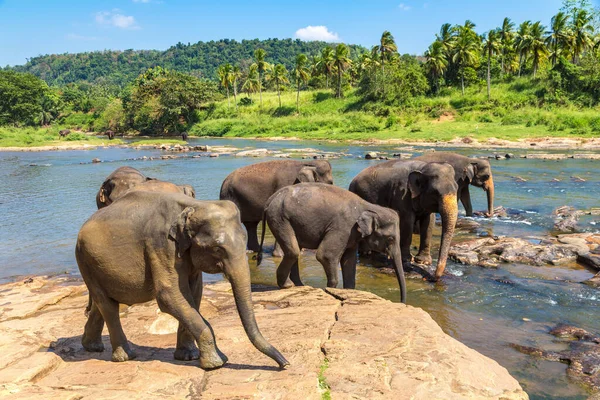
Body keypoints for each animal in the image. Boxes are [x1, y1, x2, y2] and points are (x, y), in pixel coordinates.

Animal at [75, 192, 288, 370]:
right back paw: (125, 357)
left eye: (244, 242)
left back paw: (92, 346)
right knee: (108, 305)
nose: (285, 364)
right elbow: (170, 295)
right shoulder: (161, 244)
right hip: (85, 260)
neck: (195, 205)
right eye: (217, 248)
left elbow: (194, 294)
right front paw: (216, 362)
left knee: (103, 303)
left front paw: (189, 356)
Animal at [255, 184, 406, 304]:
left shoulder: (352, 235)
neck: (368, 206)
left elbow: (349, 261)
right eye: (391, 239)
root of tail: (271, 199)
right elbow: (326, 255)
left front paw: (348, 290)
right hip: (280, 219)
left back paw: (299, 285)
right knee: (293, 251)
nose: (401, 302)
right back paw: (288, 286)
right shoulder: (343, 227)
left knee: (295, 250)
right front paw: (331, 290)